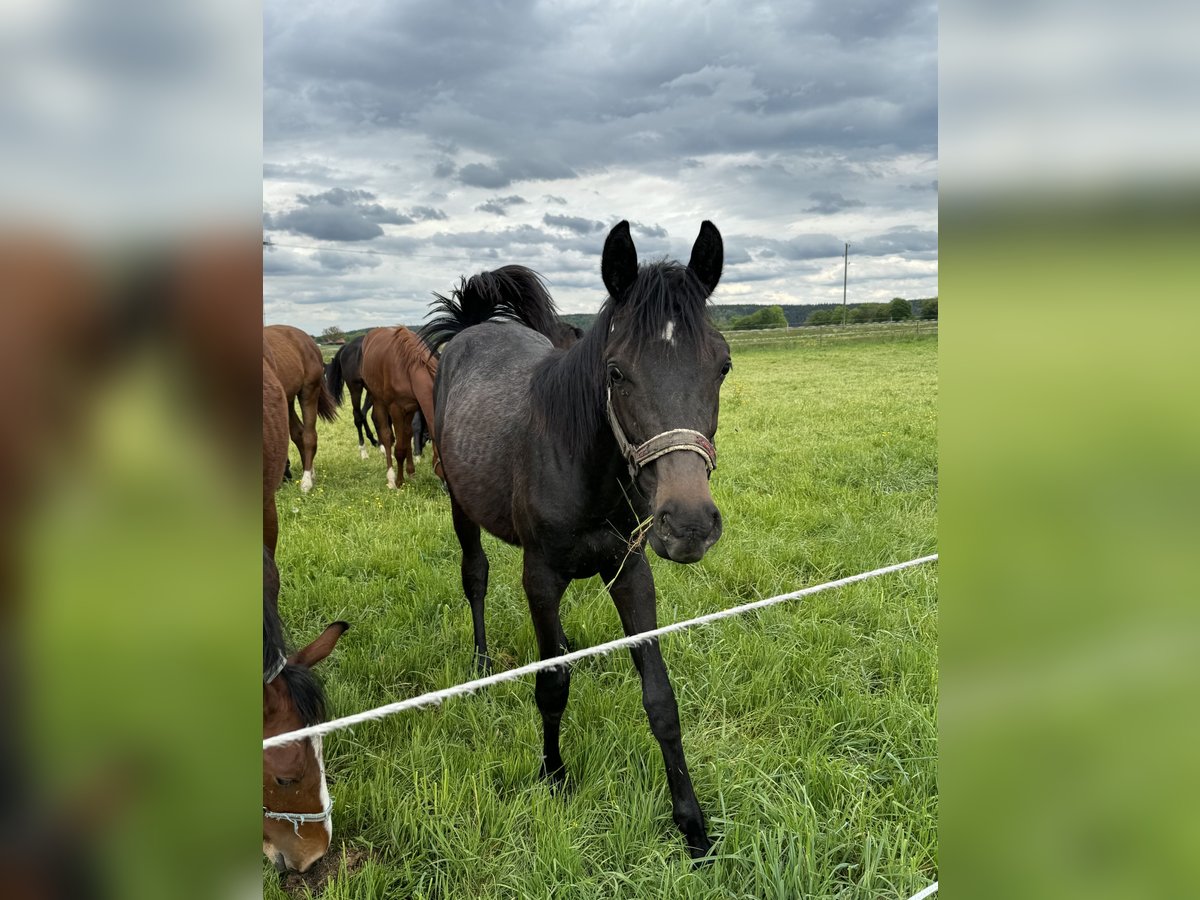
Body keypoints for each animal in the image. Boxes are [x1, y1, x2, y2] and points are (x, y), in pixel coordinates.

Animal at [357, 328, 439, 489]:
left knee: (406, 434)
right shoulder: (396, 409)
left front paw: (411, 473)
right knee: (386, 435)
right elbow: (399, 448)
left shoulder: (412, 407)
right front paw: (399, 481)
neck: (410, 367)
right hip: (377, 400)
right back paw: (390, 477)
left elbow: (407, 438)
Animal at [422, 224, 729, 859]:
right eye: (616, 372)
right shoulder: (540, 578)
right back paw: (482, 664)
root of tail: (474, 328)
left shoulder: (631, 571)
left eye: (723, 367)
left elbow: (660, 698)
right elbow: (552, 683)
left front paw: (692, 826)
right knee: (475, 576)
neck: (582, 464)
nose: (687, 526)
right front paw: (553, 775)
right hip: (460, 506)